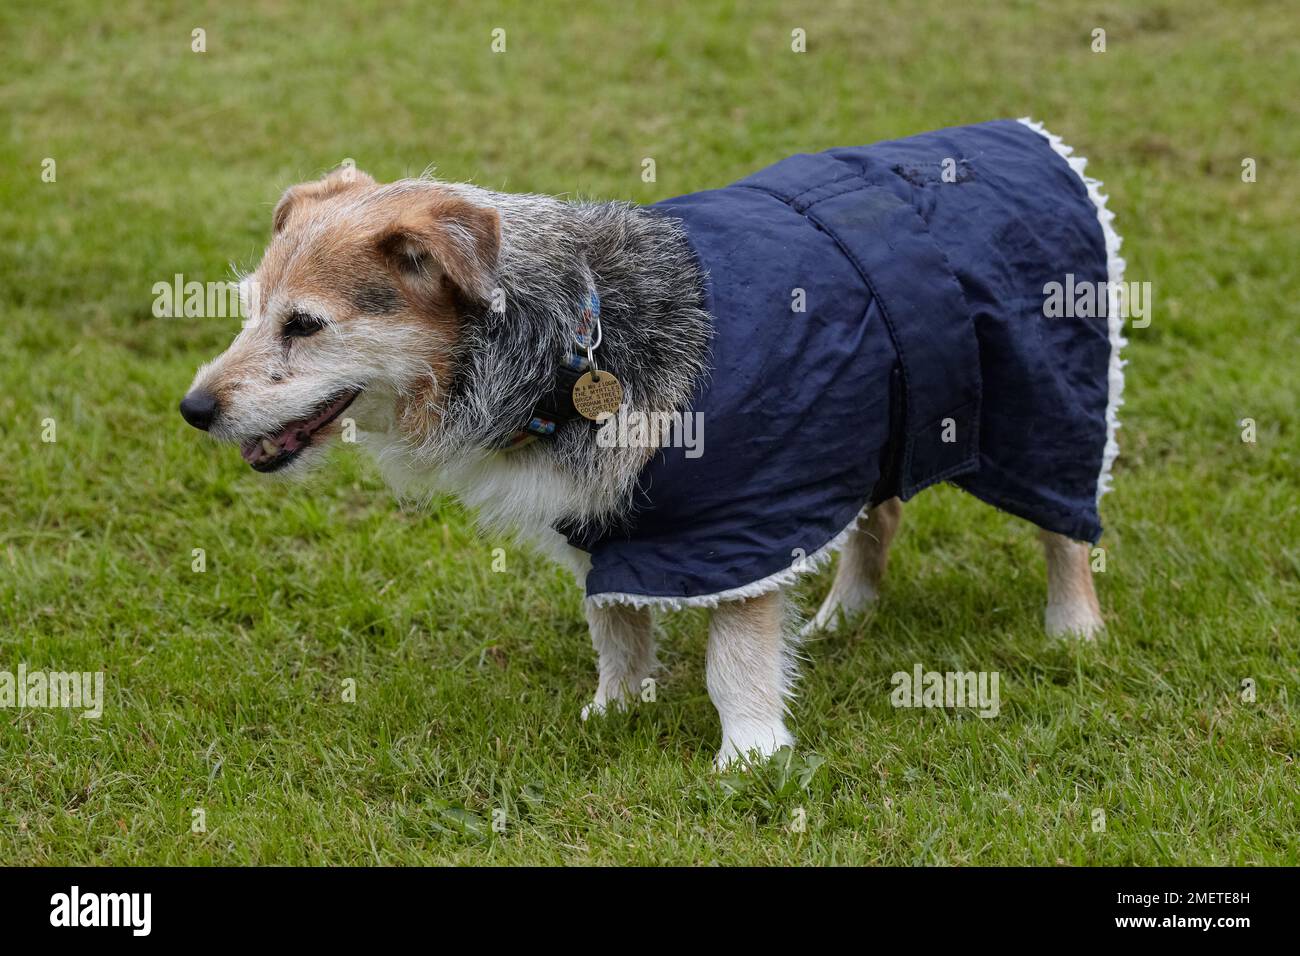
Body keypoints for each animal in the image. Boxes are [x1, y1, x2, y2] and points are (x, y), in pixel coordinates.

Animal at [183, 117, 1128, 770]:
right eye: (250, 308)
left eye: (304, 325)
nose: (193, 408)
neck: (574, 335)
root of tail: (1027, 136)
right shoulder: (605, 524)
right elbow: (616, 627)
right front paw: (615, 712)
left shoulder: (740, 523)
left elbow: (732, 659)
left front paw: (750, 756)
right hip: (886, 413)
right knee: (880, 515)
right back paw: (847, 612)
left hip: (1048, 413)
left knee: (1064, 527)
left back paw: (1075, 628)